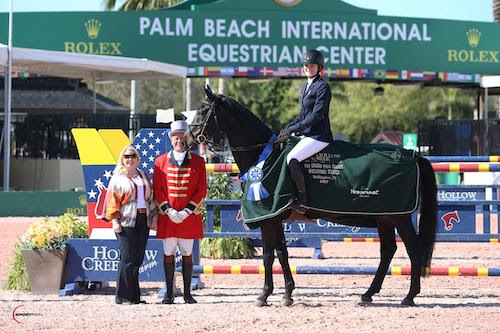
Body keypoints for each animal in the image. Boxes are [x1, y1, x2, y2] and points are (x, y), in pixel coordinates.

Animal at [188, 85, 438, 306]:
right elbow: (282, 252)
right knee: (388, 250)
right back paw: (368, 294)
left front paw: (264, 295)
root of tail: (414, 156)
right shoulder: (276, 217)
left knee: (413, 250)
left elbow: (268, 254)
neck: (265, 157)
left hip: (399, 216)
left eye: (203, 110)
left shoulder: (268, 217)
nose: (188, 138)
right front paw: (288, 294)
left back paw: (409, 297)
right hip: (384, 216)